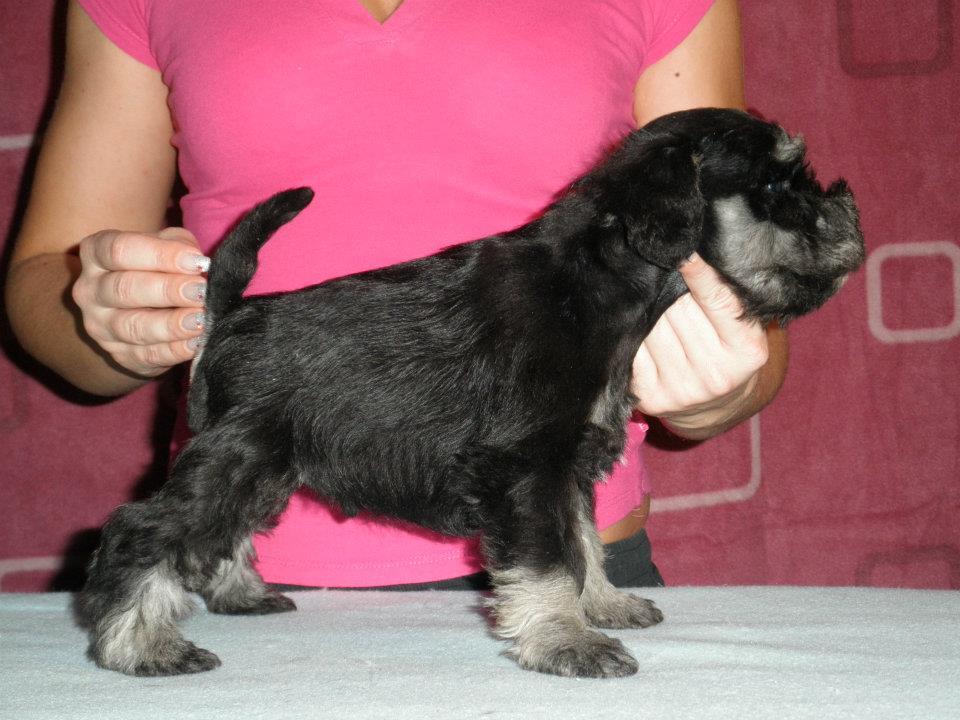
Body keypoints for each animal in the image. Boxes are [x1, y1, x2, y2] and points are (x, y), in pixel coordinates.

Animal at [77, 108, 865, 679]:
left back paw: (240, 593)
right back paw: (139, 645)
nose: (848, 216)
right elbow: (547, 558)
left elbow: (584, 543)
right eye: (774, 189)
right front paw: (567, 642)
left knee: (217, 535)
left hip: (262, 466)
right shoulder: (527, 467)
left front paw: (604, 605)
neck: (601, 285)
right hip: (239, 455)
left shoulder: (567, 465)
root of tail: (232, 313)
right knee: (146, 530)